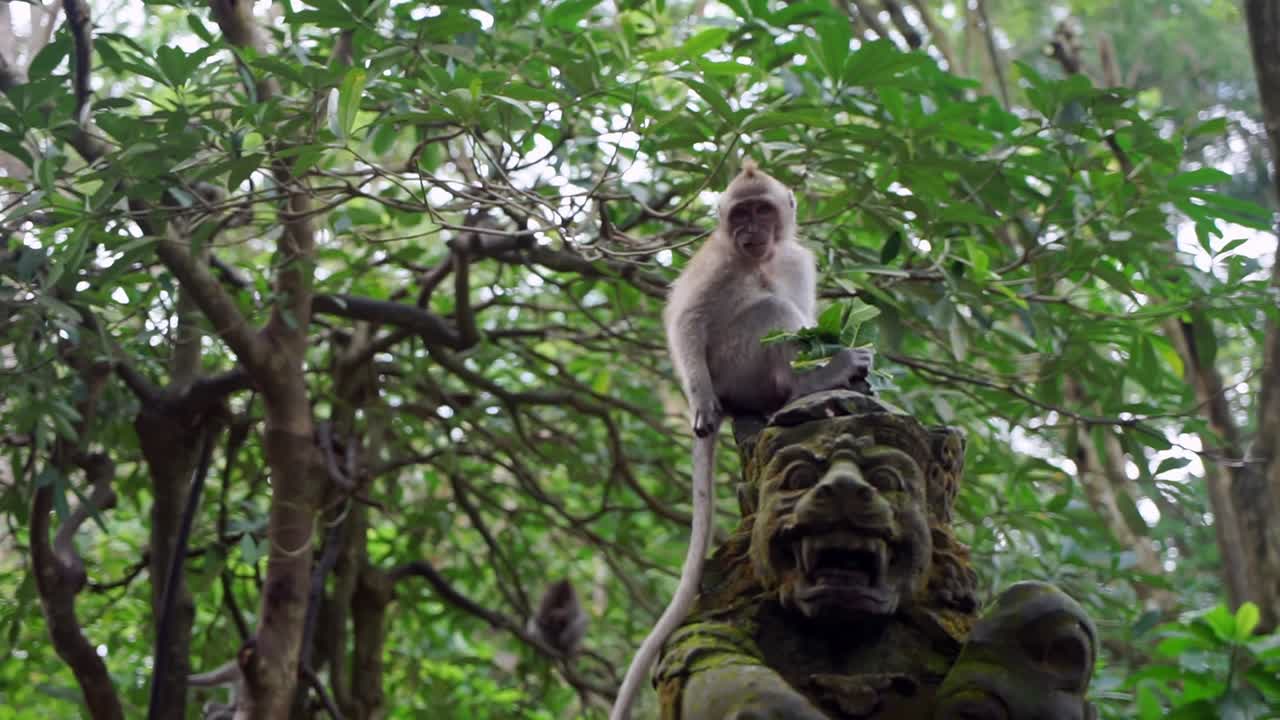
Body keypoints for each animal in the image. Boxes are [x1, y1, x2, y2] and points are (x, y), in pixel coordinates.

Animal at [610, 161, 870, 720]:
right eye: (741, 214)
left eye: (763, 211)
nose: (751, 231)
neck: (760, 258)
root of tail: (739, 401)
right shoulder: (716, 262)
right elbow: (684, 319)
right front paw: (699, 402)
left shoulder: (796, 259)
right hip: (736, 368)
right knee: (766, 311)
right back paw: (808, 382)